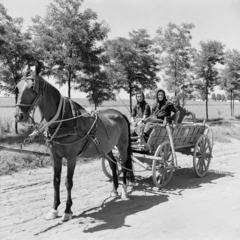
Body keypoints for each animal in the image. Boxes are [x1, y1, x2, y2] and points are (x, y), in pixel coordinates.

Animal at [14, 61, 135, 221]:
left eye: (32, 87)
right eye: (17, 88)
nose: (18, 116)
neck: (64, 120)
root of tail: (120, 114)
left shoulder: (71, 157)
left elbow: (68, 182)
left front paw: (67, 210)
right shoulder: (55, 156)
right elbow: (56, 181)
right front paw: (54, 209)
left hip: (122, 146)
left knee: (125, 164)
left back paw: (125, 190)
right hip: (107, 147)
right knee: (113, 164)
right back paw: (114, 189)